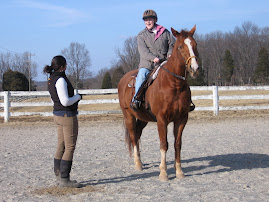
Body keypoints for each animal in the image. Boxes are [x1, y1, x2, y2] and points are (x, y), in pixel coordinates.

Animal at [118, 25, 199, 181]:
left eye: (195, 44)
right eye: (180, 47)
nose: (194, 68)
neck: (173, 84)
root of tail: (123, 80)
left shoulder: (181, 119)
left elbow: (177, 144)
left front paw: (179, 171)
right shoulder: (162, 120)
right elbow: (164, 144)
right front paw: (163, 173)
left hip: (143, 118)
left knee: (137, 134)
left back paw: (141, 161)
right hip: (128, 116)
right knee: (133, 136)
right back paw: (138, 164)